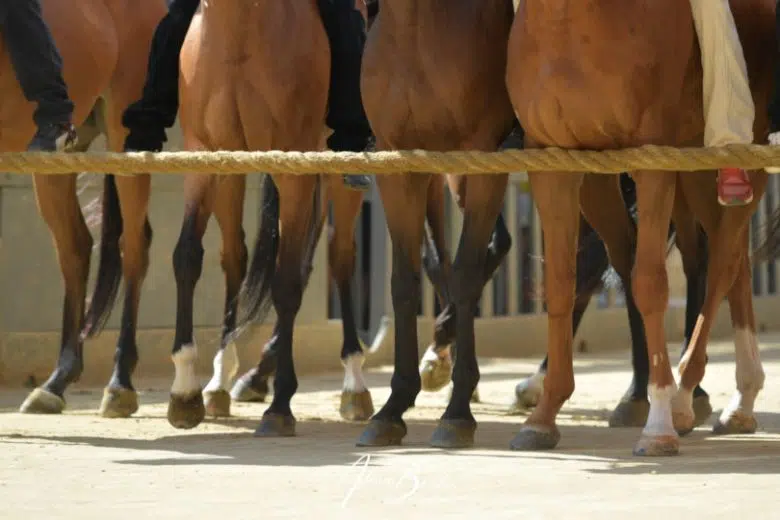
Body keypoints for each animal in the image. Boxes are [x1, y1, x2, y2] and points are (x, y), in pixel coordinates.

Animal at [4, 0, 167, 417]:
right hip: (59, 161)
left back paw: (119, 384)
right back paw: (56, 383)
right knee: (75, 246)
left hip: (127, 136)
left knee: (134, 248)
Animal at [166, 0, 379, 432]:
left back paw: (354, 384)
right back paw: (223, 382)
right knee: (237, 257)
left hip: (334, 174)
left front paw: (280, 405)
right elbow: (187, 257)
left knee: (340, 259)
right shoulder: (207, 157)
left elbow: (286, 282)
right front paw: (184, 392)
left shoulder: (294, 171)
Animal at [355, 0, 516, 448]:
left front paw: (458, 412)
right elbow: (406, 281)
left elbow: (465, 273)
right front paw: (392, 408)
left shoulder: (484, 161)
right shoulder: (402, 166)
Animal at [506, 0, 774, 455]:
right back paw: (740, 401)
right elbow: (562, 284)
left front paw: (659, 422)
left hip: (740, 152)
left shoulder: (652, 160)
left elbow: (649, 283)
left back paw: (685, 398)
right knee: (733, 261)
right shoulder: (559, 162)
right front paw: (542, 417)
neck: (570, 21)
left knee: (722, 261)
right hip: (694, 168)